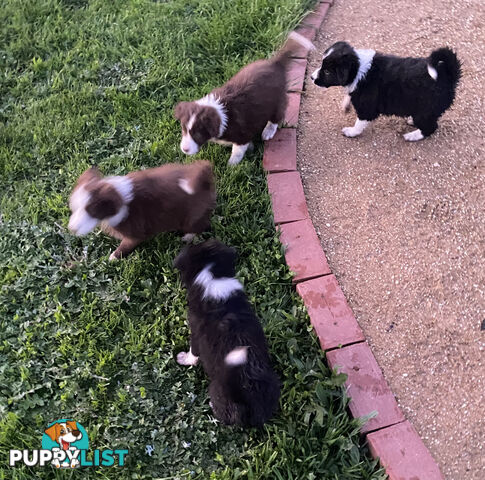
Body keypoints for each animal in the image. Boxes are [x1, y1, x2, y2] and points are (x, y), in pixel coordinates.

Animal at [67, 160, 215, 258]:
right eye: (74, 208)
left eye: (91, 212)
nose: (71, 229)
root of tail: (204, 175)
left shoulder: (134, 232)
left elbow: (126, 245)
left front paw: (114, 257)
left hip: (191, 216)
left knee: (201, 225)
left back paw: (187, 237)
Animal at [174, 31, 314, 165]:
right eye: (183, 129)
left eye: (197, 134)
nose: (184, 150)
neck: (221, 113)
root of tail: (275, 63)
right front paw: (250, 149)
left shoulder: (242, 134)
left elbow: (237, 151)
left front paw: (232, 165)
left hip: (277, 100)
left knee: (276, 117)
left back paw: (268, 131)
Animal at [174, 240, 280, 428]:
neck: (212, 276)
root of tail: (245, 396)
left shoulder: (195, 333)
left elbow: (193, 352)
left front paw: (184, 359)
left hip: (217, 390)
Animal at [310, 41, 462, 141]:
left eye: (328, 72)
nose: (311, 77)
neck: (359, 69)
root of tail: (448, 77)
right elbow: (350, 94)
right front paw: (346, 104)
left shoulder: (367, 108)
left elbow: (359, 123)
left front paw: (351, 132)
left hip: (425, 110)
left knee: (431, 127)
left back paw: (411, 136)